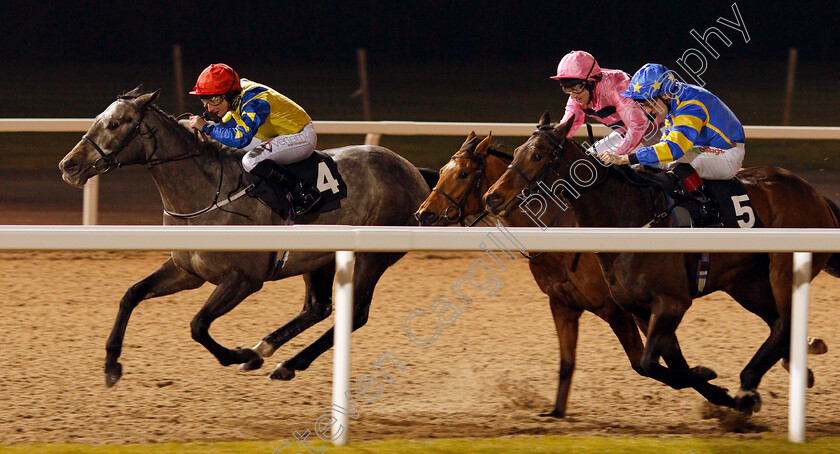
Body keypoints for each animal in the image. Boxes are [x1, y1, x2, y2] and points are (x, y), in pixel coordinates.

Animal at [57, 88, 434, 386]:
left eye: (115, 124)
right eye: (98, 119)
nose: (68, 166)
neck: (207, 193)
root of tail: (413, 170)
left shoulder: (244, 279)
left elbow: (197, 325)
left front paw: (238, 355)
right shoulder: (186, 272)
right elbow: (131, 295)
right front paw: (111, 364)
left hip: (373, 256)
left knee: (355, 313)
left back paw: (283, 361)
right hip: (319, 256)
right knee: (317, 307)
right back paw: (269, 352)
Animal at [416, 130, 740, 414]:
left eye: (462, 174)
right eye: (442, 170)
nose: (424, 214)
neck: (561, 233)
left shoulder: (615, 308)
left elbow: (646, 362)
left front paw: (722, 394)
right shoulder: (564, 304)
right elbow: (568, 362)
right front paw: (555, 412)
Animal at [482, 111, 840, 414]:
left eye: (537, 155)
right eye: (516, 151)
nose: (492, 197)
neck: (629, 218)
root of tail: (815, 194)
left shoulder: (671, 302)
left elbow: (651, 363)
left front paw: (711, 377)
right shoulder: (638, 308)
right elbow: (661, 364)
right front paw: (720, 393)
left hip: (783, 268)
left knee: (785, 322)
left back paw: (753, 380)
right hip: (745, 283)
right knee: (779, 323)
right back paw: (757, 383)